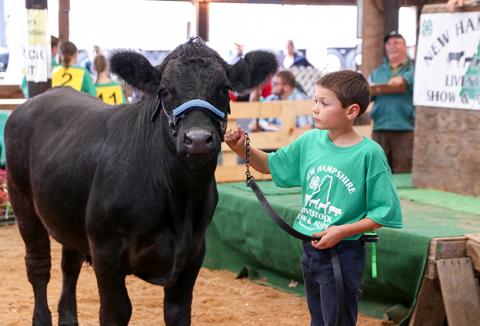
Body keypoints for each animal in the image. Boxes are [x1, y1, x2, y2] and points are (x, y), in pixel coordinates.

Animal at [5, 38, 278, 326]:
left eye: (224, 88)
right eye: (164, 90)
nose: (198, 139)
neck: (179, 200)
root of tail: (38, 99)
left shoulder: (194, 253)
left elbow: (178, 311)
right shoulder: (106, 250)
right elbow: (116, 311)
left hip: (69, 211)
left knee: (70, 264)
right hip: (21, 198)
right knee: (38, 266)